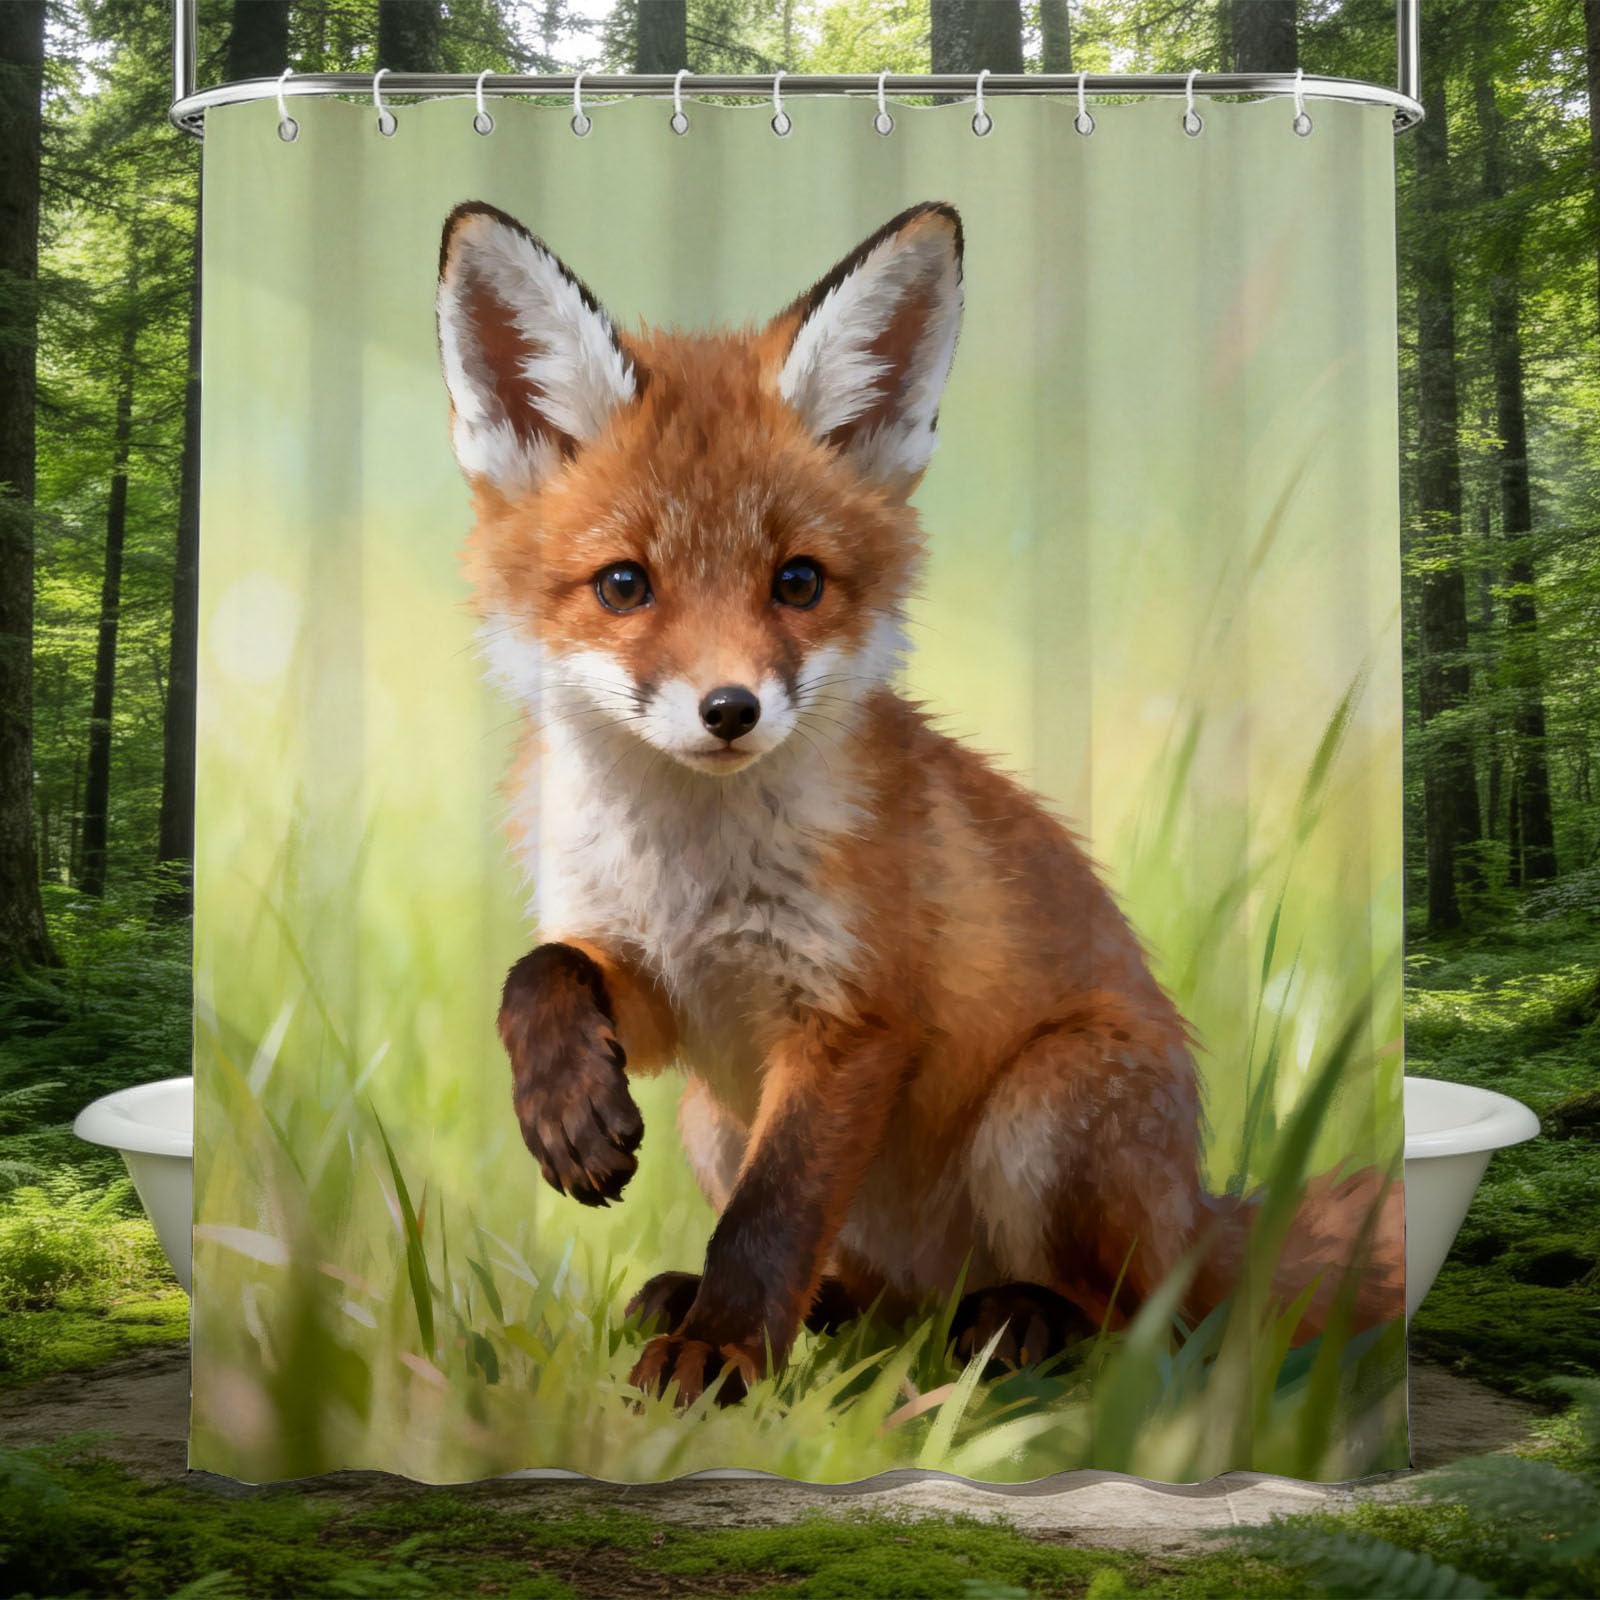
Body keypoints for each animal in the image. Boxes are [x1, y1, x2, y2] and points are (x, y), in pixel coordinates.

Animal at [434, 198, 1403, 1406]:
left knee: (1148, 1328)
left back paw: (1020, 1324)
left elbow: (770, 1220)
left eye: (797, 582)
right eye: (624, 585)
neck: (692, 868)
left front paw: (719, 1357)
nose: (730, 710)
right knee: (868, 1296)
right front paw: (566, 1111)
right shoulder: (663, 991)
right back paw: (800, 1309)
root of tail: (1202, 1216)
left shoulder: (852, 1016)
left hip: (1051, 1107)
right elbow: (540, 970)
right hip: (715, 1119)